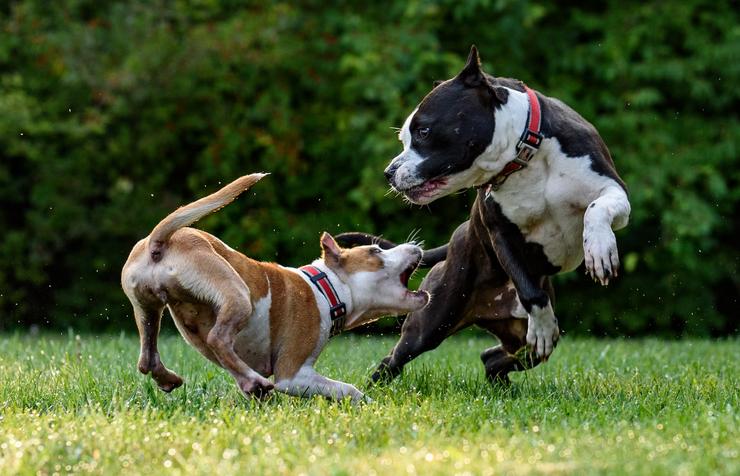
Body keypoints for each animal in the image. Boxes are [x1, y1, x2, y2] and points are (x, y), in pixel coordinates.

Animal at [121, 174, 428, 402]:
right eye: (376, 251)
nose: (415, 246)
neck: (326, 287)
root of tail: (159, 242)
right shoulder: (293, 375)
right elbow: (346, 389)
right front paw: (367, 404)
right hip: (236, 293)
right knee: (217, 338)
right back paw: (253, 380)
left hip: (147, 307)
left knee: (147, 358)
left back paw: (178, 379)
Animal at [338, 46, 628, 384]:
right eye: (404, 139)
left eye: (423, 131)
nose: (388, 172)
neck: (525, 156)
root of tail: (456, 238)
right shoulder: (500, 233)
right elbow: (530, 291)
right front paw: (543, 326)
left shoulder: (613, 189)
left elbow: (597, 209)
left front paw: (600, 250)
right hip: (432, 321)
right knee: (395, 358)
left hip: (517, 339)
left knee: (494, 357)